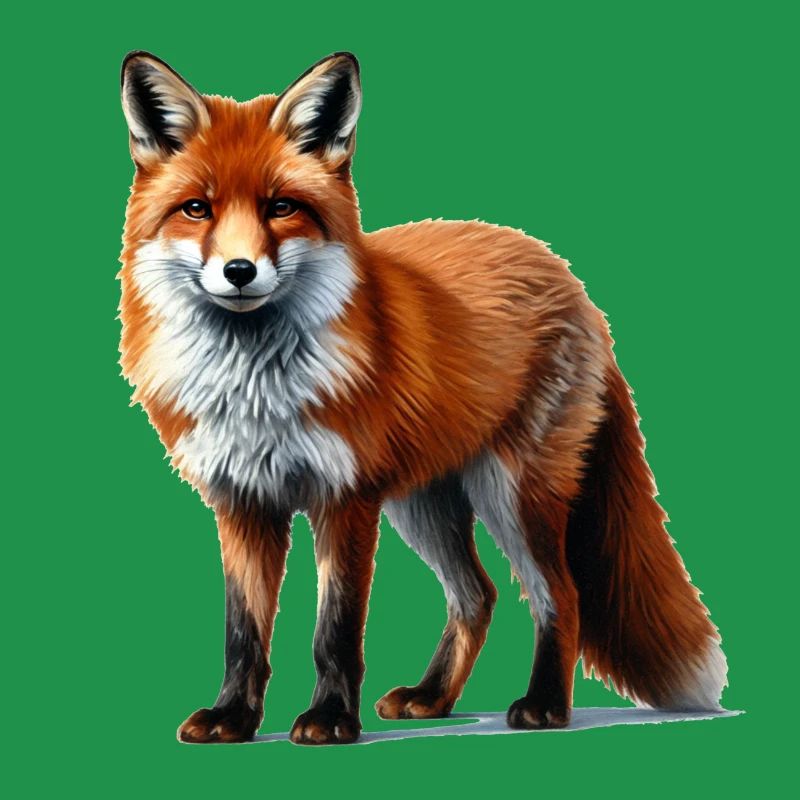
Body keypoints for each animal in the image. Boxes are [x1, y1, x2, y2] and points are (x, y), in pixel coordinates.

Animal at [118, 50, 727, 745]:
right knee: (478, 595)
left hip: (513, 494)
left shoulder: (346, 498)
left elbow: (335, 630)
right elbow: (243, 634)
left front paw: (330, 719)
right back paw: (433, 698)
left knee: (560, 594)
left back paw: (544, 704)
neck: (256, 387)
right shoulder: (243, 501)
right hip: (424, 504)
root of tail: (565, 275)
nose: (239, 271)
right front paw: (234, 718)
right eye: (197, 209)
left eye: (281, 207)